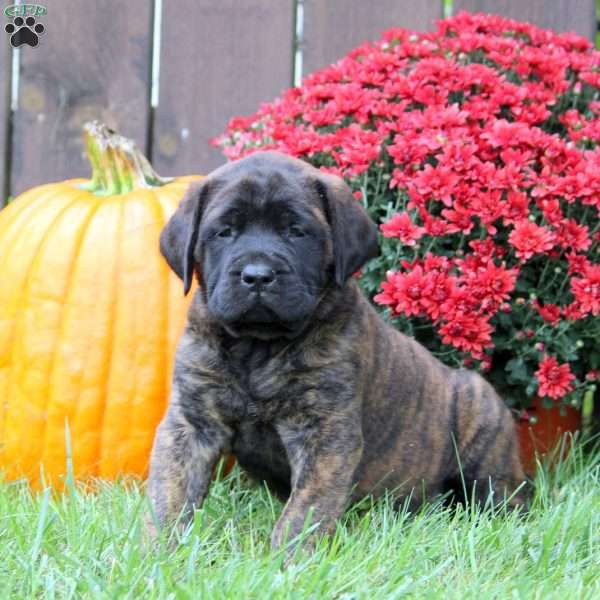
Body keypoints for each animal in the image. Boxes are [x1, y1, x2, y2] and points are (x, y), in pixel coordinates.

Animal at [148, 149, 528, 548]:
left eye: (296, 231)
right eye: (224, 232)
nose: (257, 275)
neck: (258, 348)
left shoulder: (326, 432)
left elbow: (306, 508)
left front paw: (287, 556)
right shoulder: (190, 423)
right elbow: (170, 495)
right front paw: (160, 550)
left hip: (480, 413)